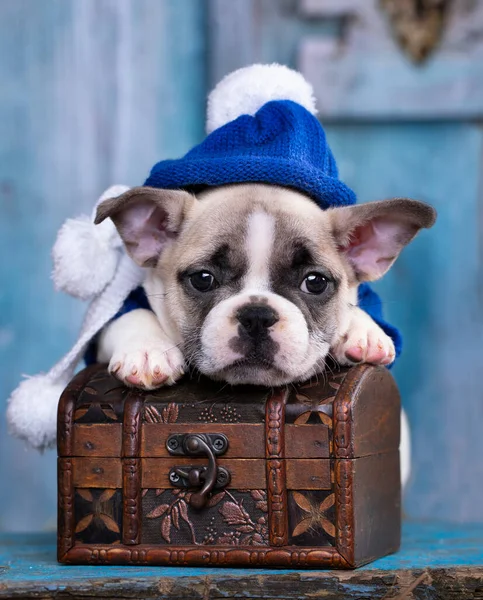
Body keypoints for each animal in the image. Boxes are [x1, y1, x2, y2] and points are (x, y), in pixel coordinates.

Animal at [93, 183, 434, 390]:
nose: (256, 315)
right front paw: (147, 349)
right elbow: (128, 315)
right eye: (203, 279)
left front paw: (364, 332)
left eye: (315, 283)